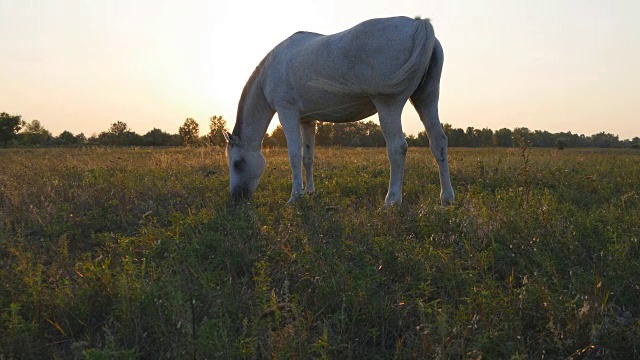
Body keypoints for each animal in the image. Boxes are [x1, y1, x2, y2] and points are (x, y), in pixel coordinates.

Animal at [225, 16, 456, 208]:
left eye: (237, 163)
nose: (237, 197)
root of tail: (419, 24)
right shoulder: (307, 120)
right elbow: (307, 157)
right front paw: (309, 192)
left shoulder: (287, 113)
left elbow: (294, 156)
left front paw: (294, 197)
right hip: (426, 100)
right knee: (438, 143)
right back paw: (446, 198)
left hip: (388, 105)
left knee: (397, 148)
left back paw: (391, 200)